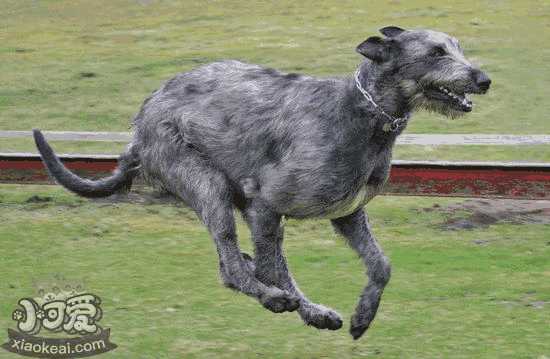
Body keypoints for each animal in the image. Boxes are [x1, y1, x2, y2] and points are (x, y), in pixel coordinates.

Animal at [33, 26, 492, 340]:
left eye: (458, 47)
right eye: (435, 52)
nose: (484, 79)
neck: (364, 113)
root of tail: (139, 127)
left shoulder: (347, 213)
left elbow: (381, 265)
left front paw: (363, 316)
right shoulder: (267, 204)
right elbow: (277, 268)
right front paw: (290, 301)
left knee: (233, 264)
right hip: (207, 185)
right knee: (233, 266)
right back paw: (278, 299)